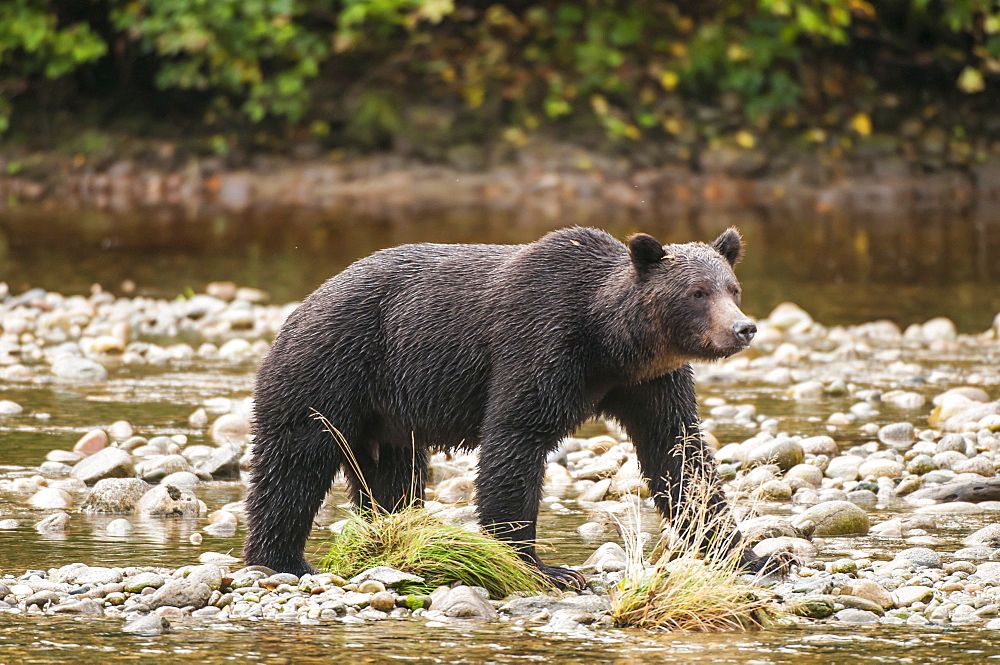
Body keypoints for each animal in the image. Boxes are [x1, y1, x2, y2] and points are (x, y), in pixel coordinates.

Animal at [242, 227, 764, 588]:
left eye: (732, 287)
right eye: (697, 292)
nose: (743, 328)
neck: (609, 343)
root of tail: (302, 306)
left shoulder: (650, 383)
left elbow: (680, 457)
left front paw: (754, 555)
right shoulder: (539, 342)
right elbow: (516, 440)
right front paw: (544, 566)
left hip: (388, 416)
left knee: (393, 477)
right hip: (330, 370)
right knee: (294, 464)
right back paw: (283, 560)